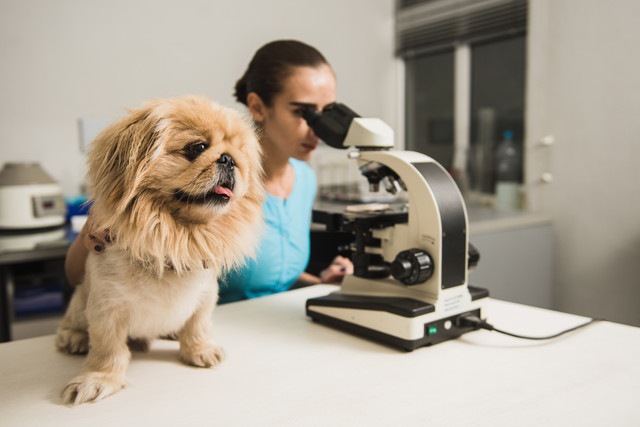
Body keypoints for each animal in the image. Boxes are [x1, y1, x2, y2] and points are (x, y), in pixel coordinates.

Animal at [55, 95, 264, 406]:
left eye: (240, 154)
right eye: (197, 148)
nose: (228, 159)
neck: (175, 236)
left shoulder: (204, 297)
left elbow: (198, 326)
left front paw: (200, 350)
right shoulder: (106, 308)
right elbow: (107, 349)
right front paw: (98, 380)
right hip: (80, 302)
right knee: (72, 323)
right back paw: (74, 338)